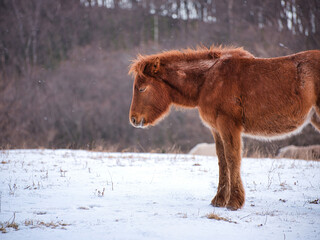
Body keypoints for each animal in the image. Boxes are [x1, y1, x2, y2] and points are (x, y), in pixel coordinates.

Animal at [128, 45, 320, 210]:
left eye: (142, 88)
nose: (133, 119)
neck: (207, 79)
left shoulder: (228, 125)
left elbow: (232, 158)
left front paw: (234, 201)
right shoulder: (216, 129)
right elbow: (222, 160)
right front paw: (219, 200)